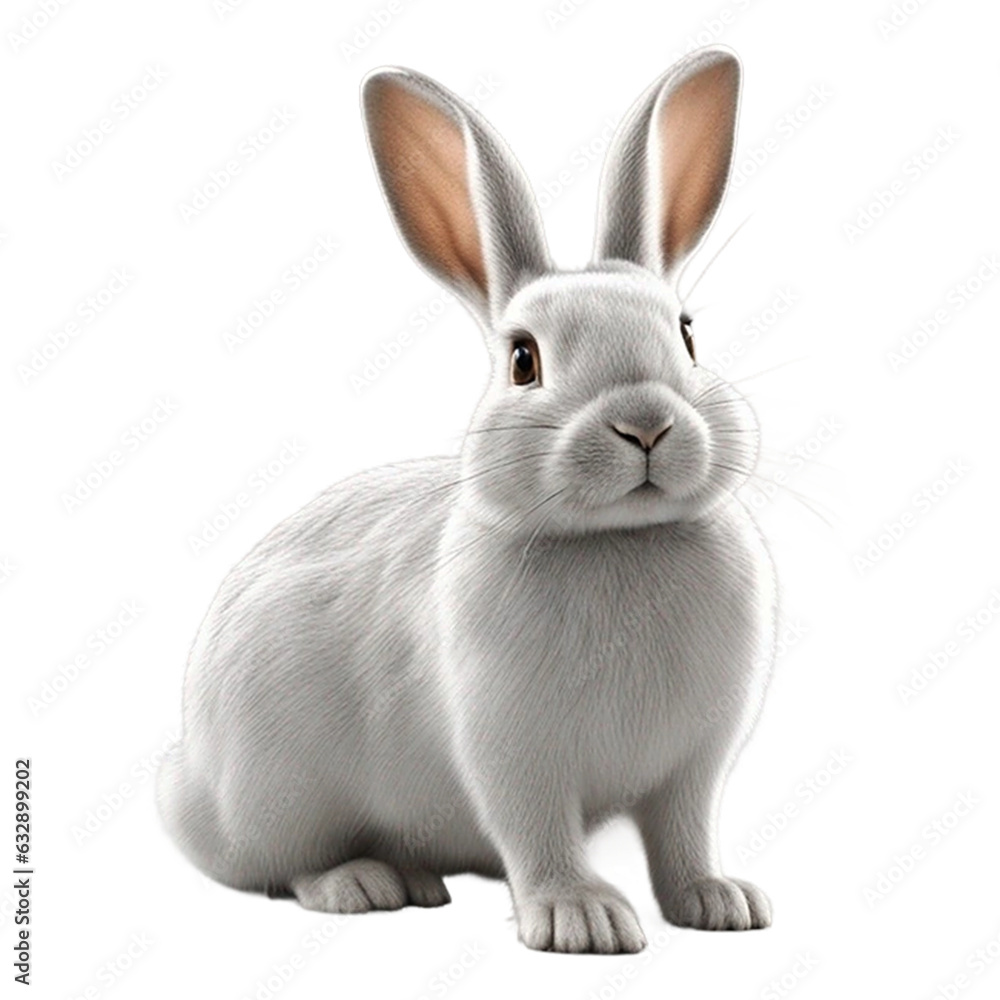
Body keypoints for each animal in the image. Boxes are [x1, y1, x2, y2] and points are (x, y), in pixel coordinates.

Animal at [156, 45, 779, 955]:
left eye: (688, 334)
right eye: (523, 359)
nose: (646, 423)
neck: (618, 539)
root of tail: (187, 789)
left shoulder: (693, 763)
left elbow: (684, 836)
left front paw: (720, 901)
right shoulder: (511, 749)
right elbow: (536, 830)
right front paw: (581, 918)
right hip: (276, 784)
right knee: (280, 865)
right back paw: (362, 883)